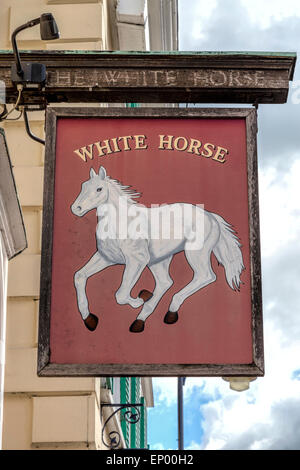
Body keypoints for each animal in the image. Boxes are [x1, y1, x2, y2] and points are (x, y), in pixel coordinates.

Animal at [71, 167, 245, 332]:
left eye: (99, 189)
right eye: (83, 186)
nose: (76, 208)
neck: (121, 222)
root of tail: (212, 217)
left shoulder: (137, 260)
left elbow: (121, 294)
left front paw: (138, 300)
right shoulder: (106, 258)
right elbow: (79, 276)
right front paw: (89, 319)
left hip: (195, 254)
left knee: (205, 276)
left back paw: (167, 309)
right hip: (158, 260)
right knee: (165, 282)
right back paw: (142, 319)